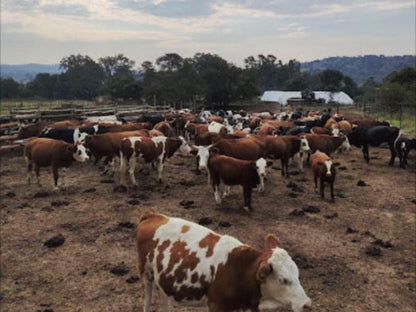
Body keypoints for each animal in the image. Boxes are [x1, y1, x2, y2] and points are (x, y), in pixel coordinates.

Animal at [136, 212, 312, 312]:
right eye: (283, 280)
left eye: (298, 275)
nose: (307, 304)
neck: (240, 270)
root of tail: (153, 216)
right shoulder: (216, 305)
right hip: (146, 275)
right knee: (147, 301)